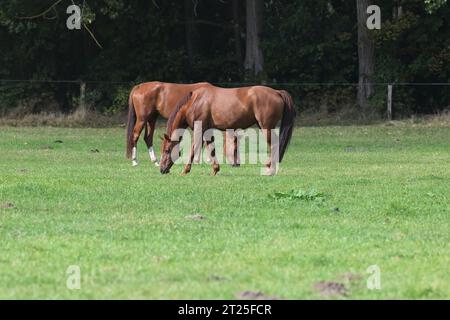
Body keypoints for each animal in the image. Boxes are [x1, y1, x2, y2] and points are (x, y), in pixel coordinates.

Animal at [160, 85, 298, 175]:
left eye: (167, 150)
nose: (162, 169)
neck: (195, 102)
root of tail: (277, 92)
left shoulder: (200, 130)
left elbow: (193, 149)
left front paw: (185, 170)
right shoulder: (207, 131)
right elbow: (211, 149)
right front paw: (215, 169)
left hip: (266, 127)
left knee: (274, 145)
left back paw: (270, 169)